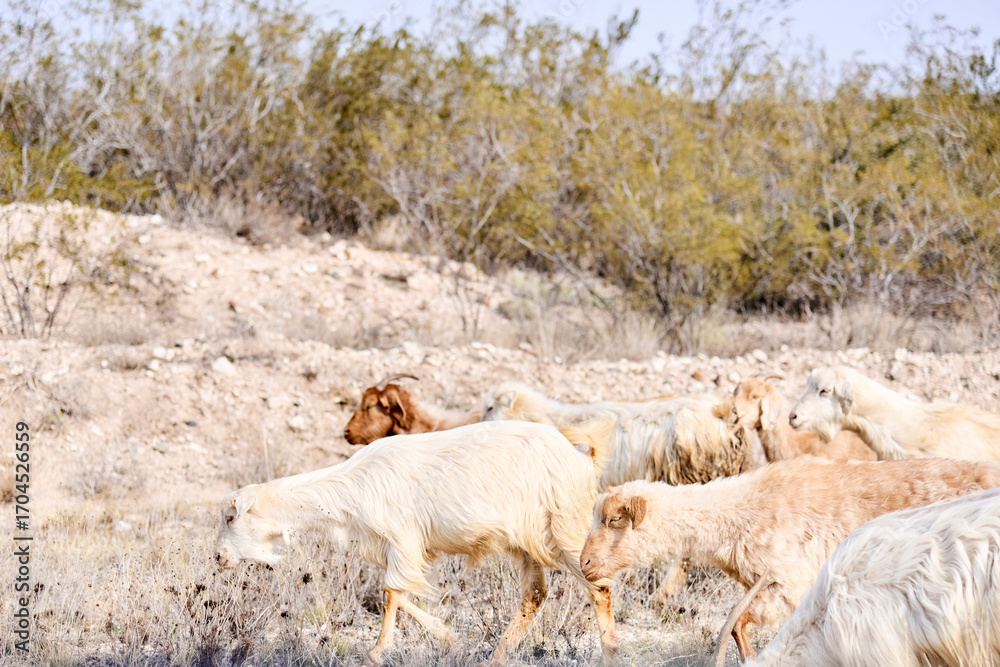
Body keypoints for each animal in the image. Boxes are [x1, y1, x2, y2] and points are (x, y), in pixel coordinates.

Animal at [216, 419, 619, 666]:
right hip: (526, 542)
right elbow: (400, 593)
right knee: (534, 595)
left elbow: (390, 593)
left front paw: (374, 654)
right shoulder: (400, 549)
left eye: (231, 517)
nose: (218, 557)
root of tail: (582, 458)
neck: (354, 485)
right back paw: (495, 658)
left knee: (599, 586)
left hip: (566, 527)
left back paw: (611, 651)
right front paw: (451, 640)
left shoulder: (402, 539)